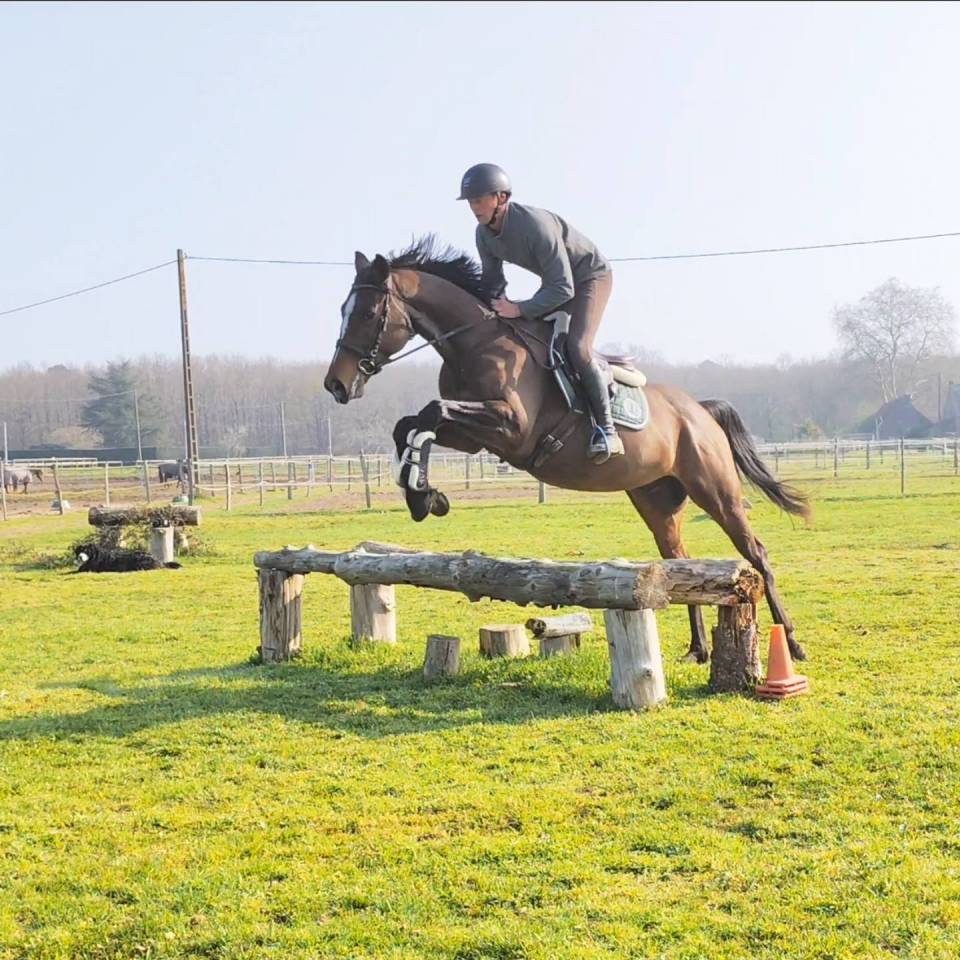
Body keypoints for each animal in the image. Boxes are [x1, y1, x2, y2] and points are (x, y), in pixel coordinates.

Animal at [323, 237, 811, 664]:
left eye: (368, 312)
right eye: (342, 311)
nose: (336, 385)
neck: (475, 343)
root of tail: (700, 410)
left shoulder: (510, 427)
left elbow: (429, 411)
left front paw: (424, 493)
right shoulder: (474, 436)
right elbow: (410, 424)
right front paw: (422, 495)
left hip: (716, 488)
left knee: (757, 553)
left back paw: (791, 642)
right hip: (656, 498)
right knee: (680, 561)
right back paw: (697, 649)